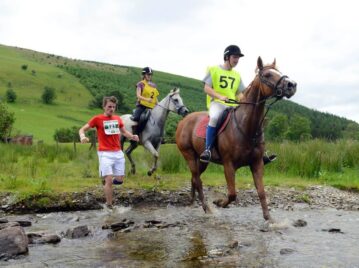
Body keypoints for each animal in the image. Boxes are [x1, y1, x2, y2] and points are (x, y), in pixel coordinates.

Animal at [176, 57, 298, 221]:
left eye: (278, 71)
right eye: (267, 75)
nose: (292, 85)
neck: (247, 127)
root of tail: (184, 120)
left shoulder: (257, 163)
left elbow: (261, 192)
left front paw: (270, 219)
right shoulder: (229, 165)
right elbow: (232, 194)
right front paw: (219, 202)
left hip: (201, 160)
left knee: (194, 178)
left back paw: (194, 201)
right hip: (188, 155)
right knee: (197, 180)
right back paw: (207, 208)